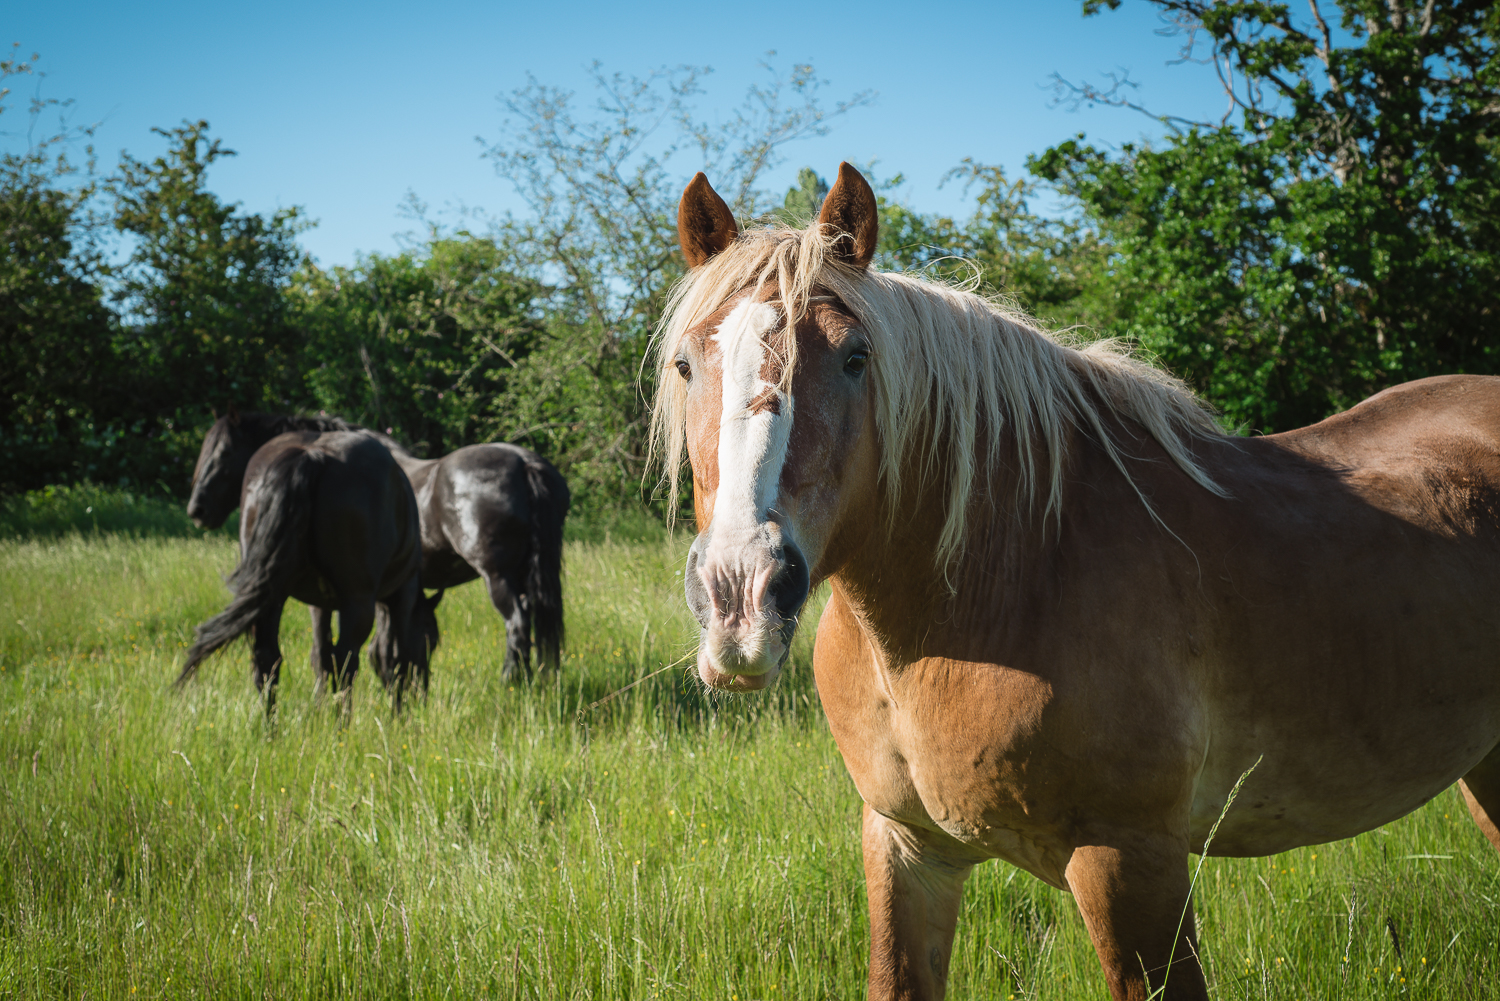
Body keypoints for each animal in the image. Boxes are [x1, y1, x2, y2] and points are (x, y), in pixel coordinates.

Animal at [179, 426, 435, 717]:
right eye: (432, 639)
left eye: (223, 453)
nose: (197, 509)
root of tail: (312, 455)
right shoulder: (403, 593)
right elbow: (395, 658)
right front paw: (401, 718)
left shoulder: (320, 604)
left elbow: (321, 656)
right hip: (358, 602)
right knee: (346, 662)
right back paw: (341, 726)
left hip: (272, 596)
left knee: (268, 660)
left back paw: (272, 727)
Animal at [663, 164, 1500, 1001]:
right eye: (686, 364)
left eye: (855, 358)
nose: (741, 594)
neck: (1008, 579)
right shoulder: (905, 845)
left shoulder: (1129, 862)